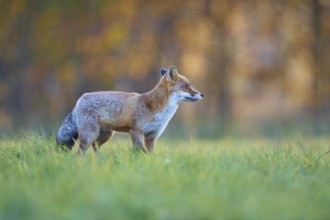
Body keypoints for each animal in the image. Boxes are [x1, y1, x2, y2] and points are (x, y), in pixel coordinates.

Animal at [56, 66, 204, 154]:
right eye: (186, 86)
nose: (202, 94)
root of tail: (81, 98)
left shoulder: (152, 136)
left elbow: (150, 154)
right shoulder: (135, 131)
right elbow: (142, 152)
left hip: (105, 135)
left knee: (95, 147)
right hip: (89, 135)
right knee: (79, 153)